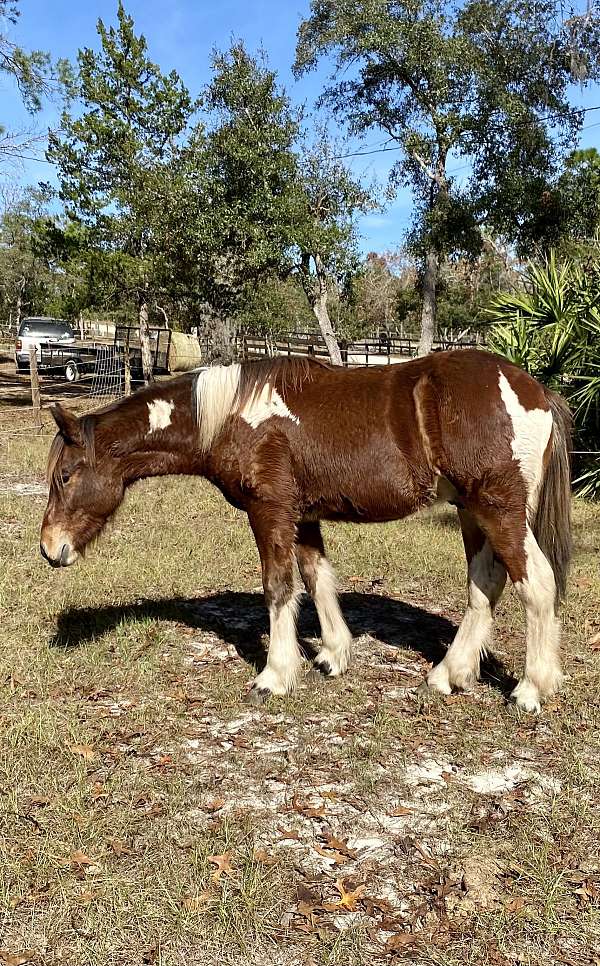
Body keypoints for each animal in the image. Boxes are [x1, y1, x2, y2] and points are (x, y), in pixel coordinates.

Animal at [39, 352, 576, 716]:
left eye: (64, 475)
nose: (49, 549)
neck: (232, 416)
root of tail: (534, 391)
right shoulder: (304, 517)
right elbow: (317, 579)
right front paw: (333, 655)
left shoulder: (270, 512)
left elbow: (279, 587)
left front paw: (276, 675)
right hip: (472, 512)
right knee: (485, 584)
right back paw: (450, 674)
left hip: (499, 510)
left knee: (536, 584)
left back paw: (530, 689)